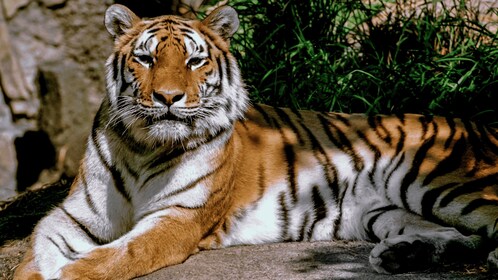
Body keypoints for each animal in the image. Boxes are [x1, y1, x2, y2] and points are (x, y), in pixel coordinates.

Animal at [13, 3, 496, 278]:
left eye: (194, 61)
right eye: (146, 59)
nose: (167, 97)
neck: (142, 147)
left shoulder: (178, 218)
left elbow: (116, 257)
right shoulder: (73, 216)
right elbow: (33, 259)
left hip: (443, 182)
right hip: (382, 210)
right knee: (458, 236)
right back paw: (406, 256)